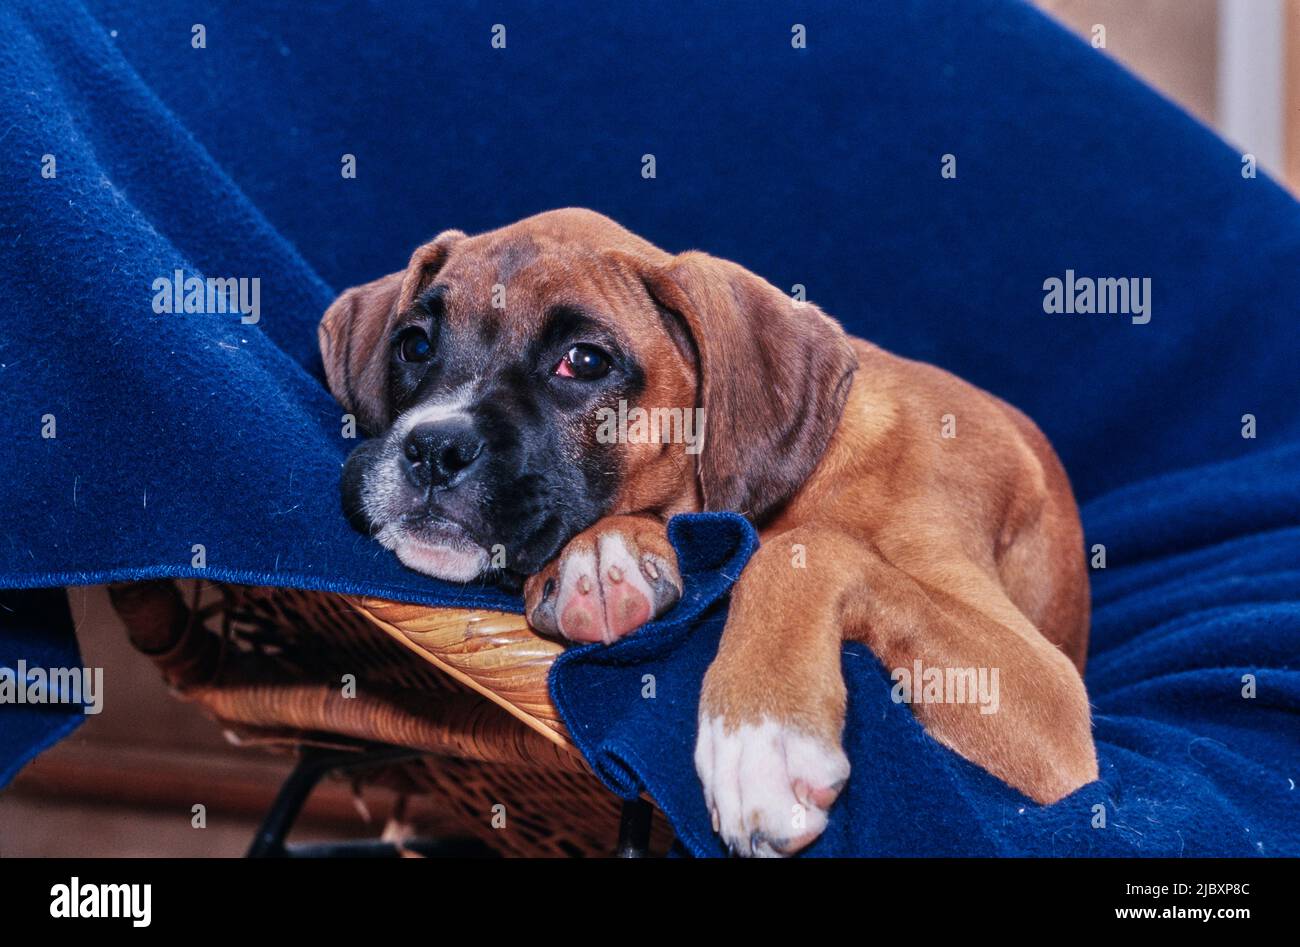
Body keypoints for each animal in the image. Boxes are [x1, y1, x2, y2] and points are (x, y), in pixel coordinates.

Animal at [319, 206, 1092, 858]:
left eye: (585, 360)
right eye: (414, 345)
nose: (432, 447)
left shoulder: (1048, 695)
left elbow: (800, 554)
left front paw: (763, 736)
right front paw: (601, 557)